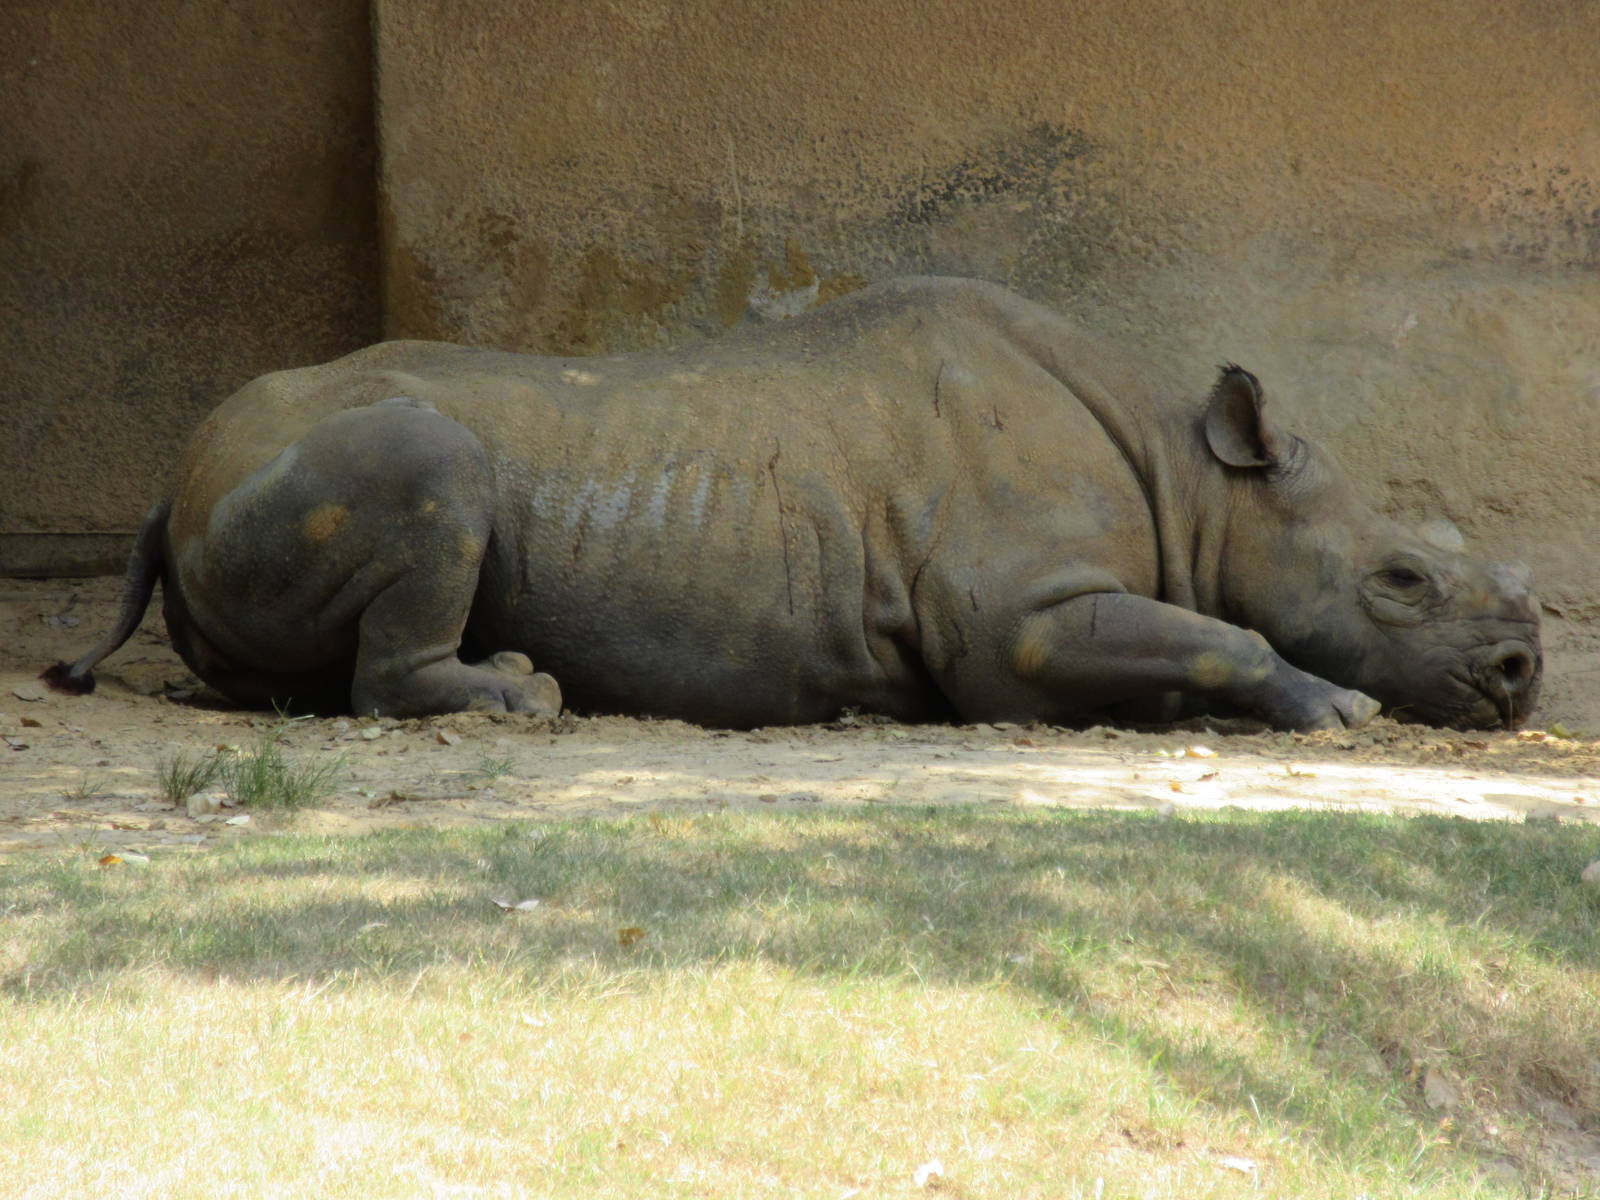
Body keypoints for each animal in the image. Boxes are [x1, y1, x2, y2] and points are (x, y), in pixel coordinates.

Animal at [48, 276, 1541, 731]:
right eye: (1401, 579)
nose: (1525, 672)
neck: (1201, 482)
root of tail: (171, 481)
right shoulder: (1019, 623)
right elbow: (1218, 635)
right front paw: (1338, 711)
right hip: (312, 457)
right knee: (435, 467)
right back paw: (523, 699)